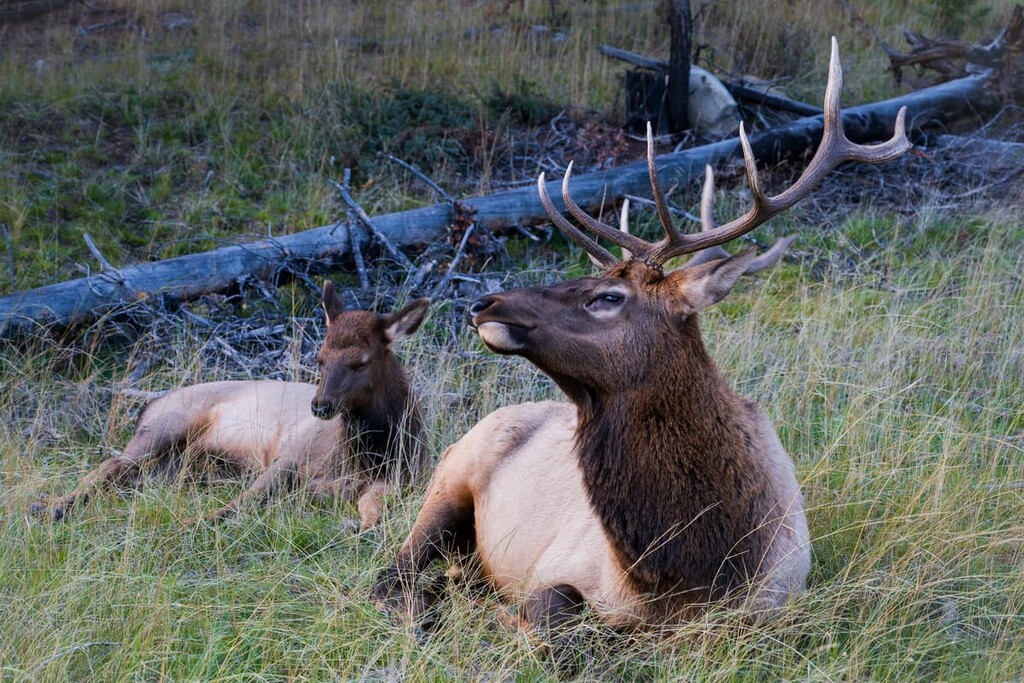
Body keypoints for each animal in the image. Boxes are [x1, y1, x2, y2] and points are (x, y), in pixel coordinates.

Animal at [31, 283, 429, 531]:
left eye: (361, 362)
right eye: (320, 357)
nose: (320, 406)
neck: (368, 453)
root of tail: (151, 404)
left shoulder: (394, 483)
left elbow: (373, 515)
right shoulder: (287, 458)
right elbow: (245, 502)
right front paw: (192, 524)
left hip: (178, 467)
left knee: (129, 475)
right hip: (165, 426)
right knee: (112, 464)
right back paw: (50, 505)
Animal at [373, 39, 911, 664]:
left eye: (607, 296)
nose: (483, 303)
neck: (687, 574)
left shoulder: (779, 605)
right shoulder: (562, 565)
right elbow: (548, 611)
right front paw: (501, 618)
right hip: (448, 477)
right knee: (390, 575)